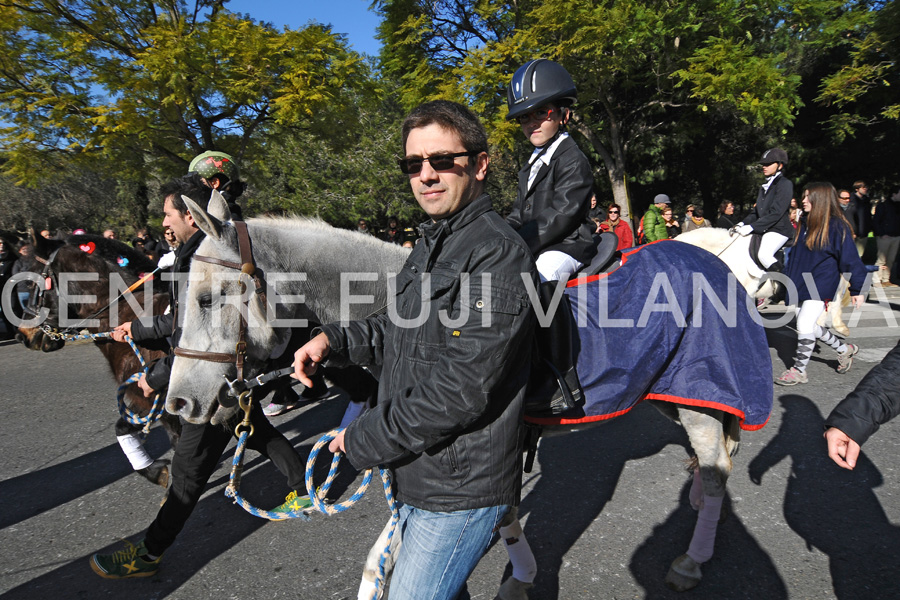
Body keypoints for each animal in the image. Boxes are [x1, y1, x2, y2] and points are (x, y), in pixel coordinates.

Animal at [19, 232, 181, 486]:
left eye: (32, 283)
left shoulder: (165, 407)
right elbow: (121, 428)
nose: (24, 334)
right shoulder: (142, 400)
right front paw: (153, 470)